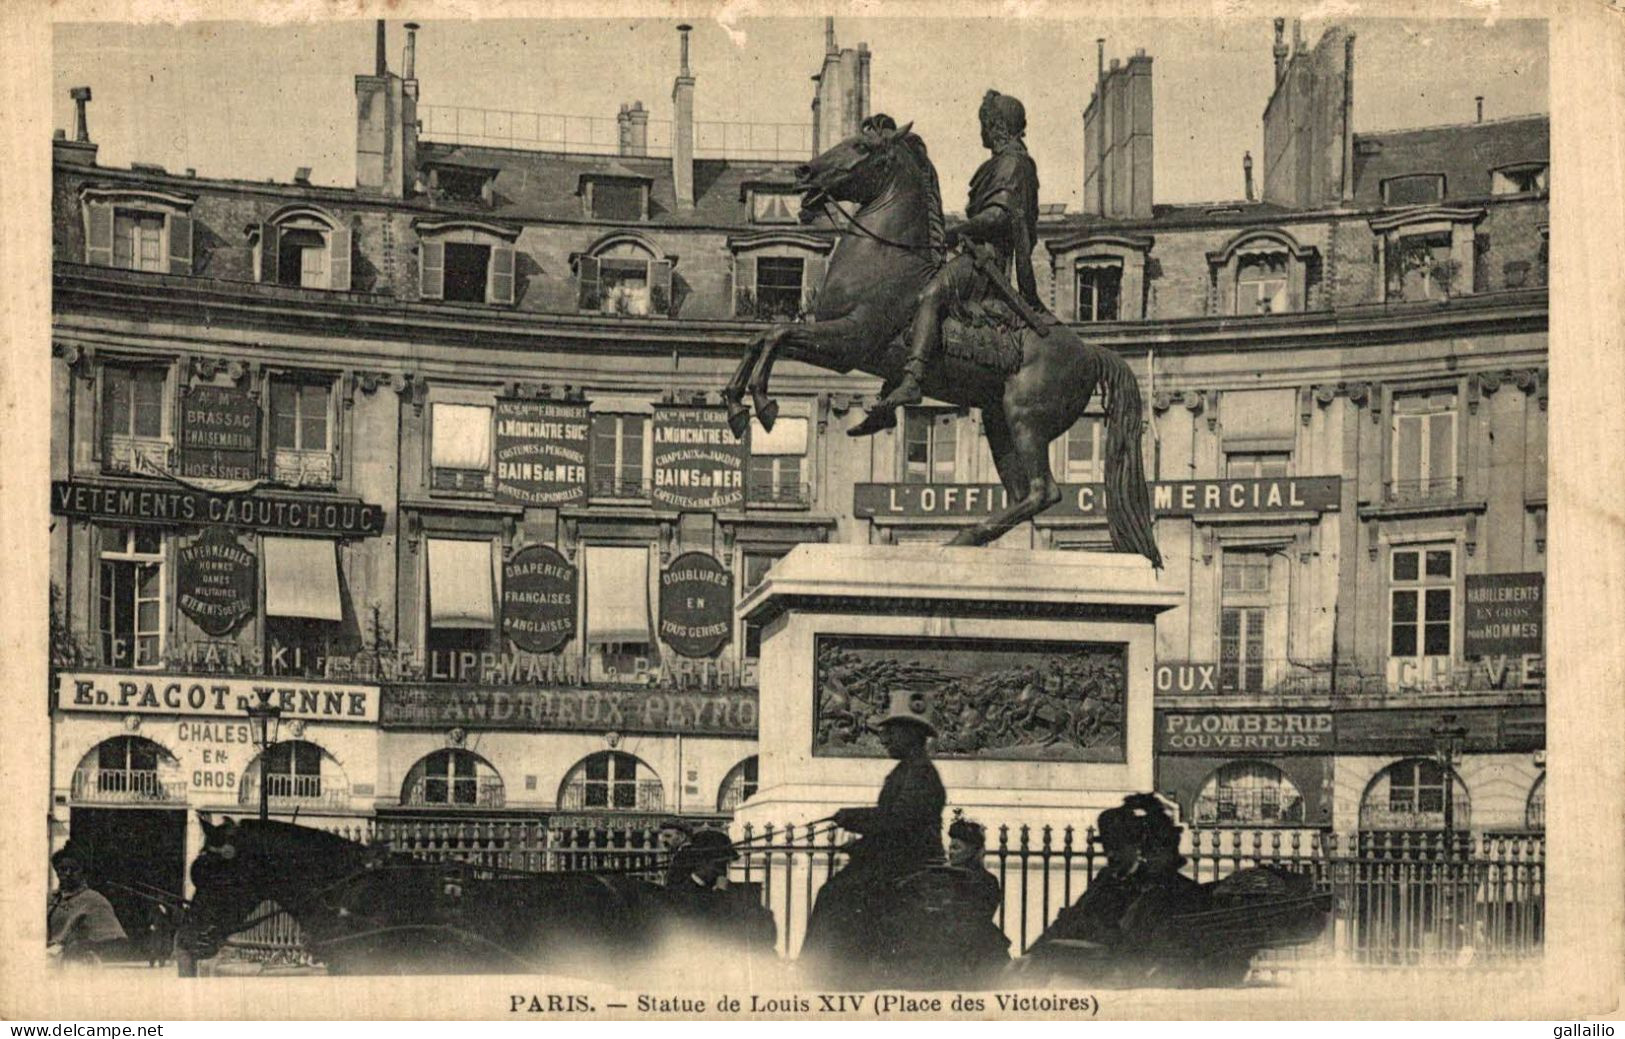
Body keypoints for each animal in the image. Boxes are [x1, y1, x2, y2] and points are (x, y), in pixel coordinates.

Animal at [721, 120, 1157, 569]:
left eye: (861, 146)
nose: (804, 172)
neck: (885, 258)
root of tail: (1091, 351)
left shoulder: (849, 342)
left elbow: (776, 335)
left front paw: (763, 405)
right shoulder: (833, 338)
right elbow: (760, 338)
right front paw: (736, 405)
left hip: (1026, 419)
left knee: (1044, 490)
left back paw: (963, 536)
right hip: (997, 420)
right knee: (1024, 493)